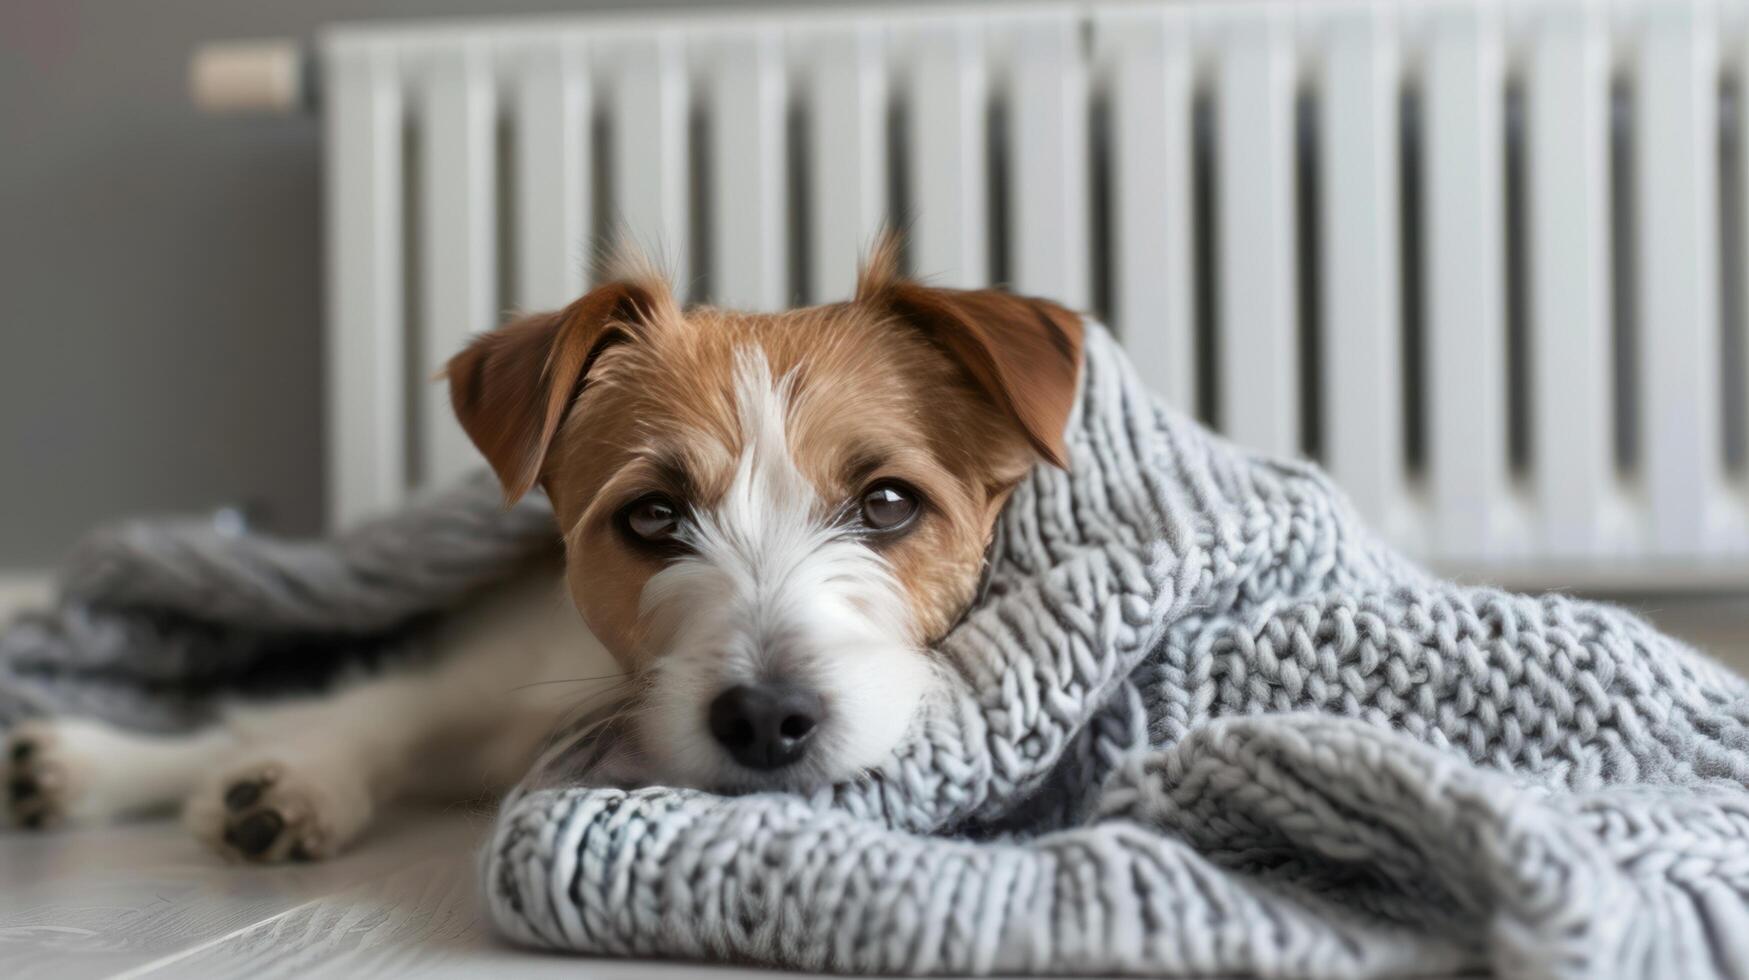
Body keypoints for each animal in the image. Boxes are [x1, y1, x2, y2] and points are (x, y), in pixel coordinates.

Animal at [3, 246, 1077, 864]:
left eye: (888, 503)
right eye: (652, 518)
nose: (765, 719)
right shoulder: (499, 675)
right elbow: (369, 717)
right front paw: (299, 784)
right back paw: (97, 766)